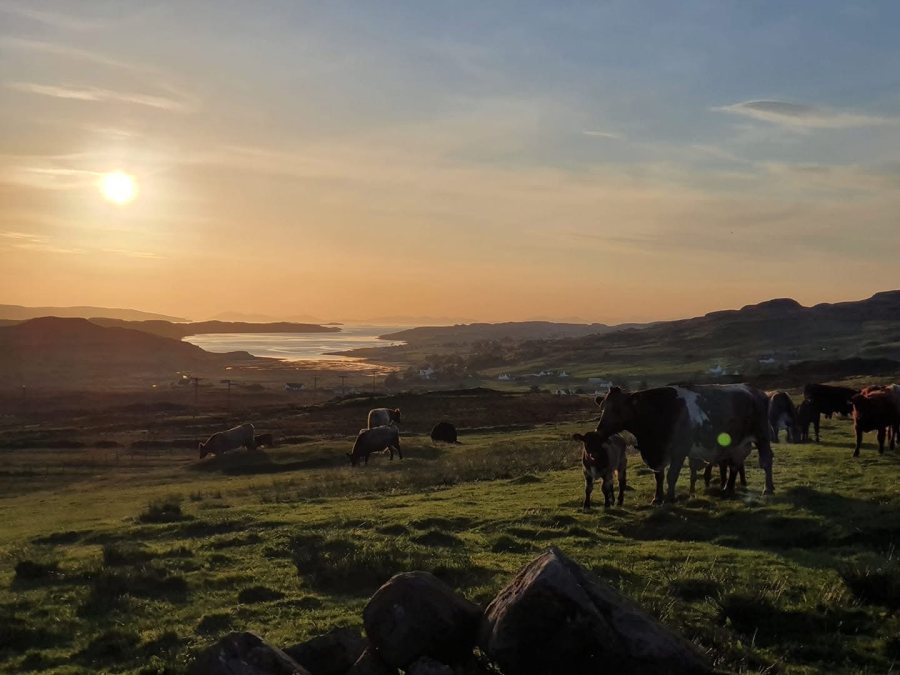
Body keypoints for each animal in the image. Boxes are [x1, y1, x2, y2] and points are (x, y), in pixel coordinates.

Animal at [595, 384, 774, 504]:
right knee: (735, 465)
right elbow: (658, 476)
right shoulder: (657, 452)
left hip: (762, 436)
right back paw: (727, 489)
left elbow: (671, 475)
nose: (600, 430)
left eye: (617, 409)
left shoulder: (679, 451)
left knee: (766, 461)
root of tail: (756, 391)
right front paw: (657, 498)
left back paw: (768, 489)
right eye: (602, 407)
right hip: (737, 444)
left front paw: (669, 498)